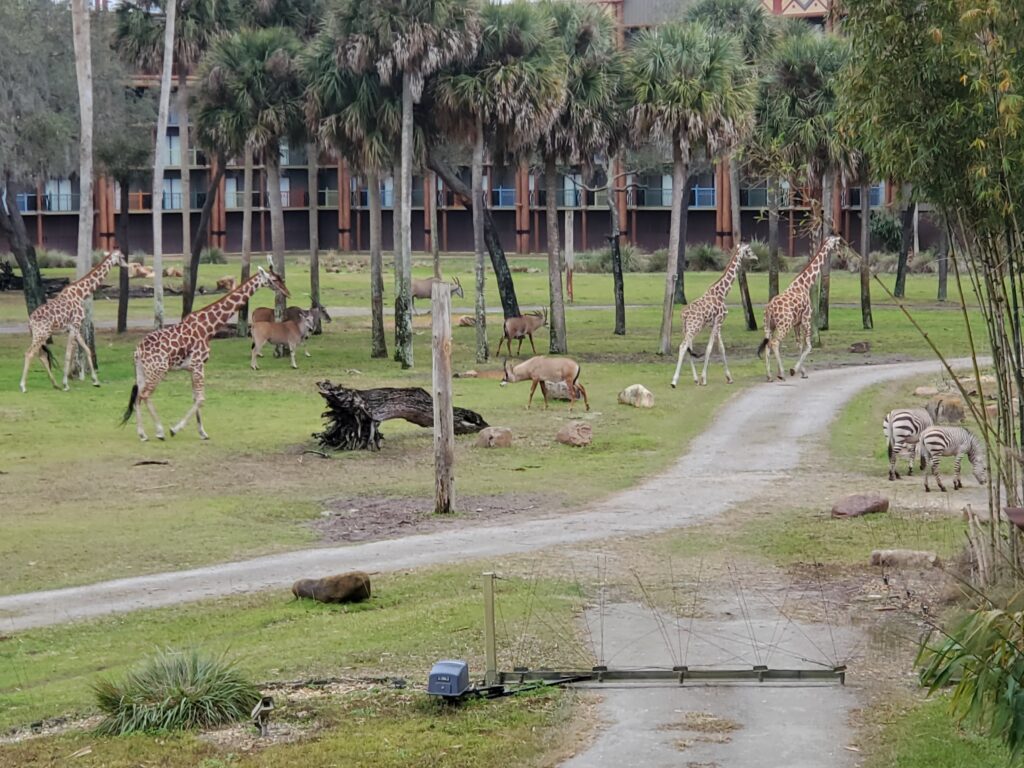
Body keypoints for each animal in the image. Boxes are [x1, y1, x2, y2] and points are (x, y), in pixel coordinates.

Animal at [20, 252, 128, 393]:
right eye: (122, 257)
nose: (127, 265)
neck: (81, 293)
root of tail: (30, 321)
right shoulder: (74, 326)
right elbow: (68, 354)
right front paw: (66, 384)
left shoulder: (76, 328)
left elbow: (86, 350)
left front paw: (95, 381)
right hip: (41, 334)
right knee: (29, 353)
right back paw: (23, 386)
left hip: (40, 334)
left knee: (41, 355)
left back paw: (55, 384)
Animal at [126, 264, 292, 442]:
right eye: (274, 279)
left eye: (280, 278)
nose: (287, 292)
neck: (209, 328)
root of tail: (137, 352)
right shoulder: (198, 364)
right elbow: (201, 399)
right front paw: (175, 429)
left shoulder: (193, 367)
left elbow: (195, 398)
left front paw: (202, 433)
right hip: (158, 370)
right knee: (144, 395)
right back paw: (159, 432)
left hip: (143, 371)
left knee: (138, 397)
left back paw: (143, 434)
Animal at [671, 244, 761, 391]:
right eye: (749, 251)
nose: (756, 258)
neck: (723, 293)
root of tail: (683, 314)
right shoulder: (719, 321)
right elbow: (710, 348)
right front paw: (704, 379)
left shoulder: (715, 324)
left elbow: (721, 348)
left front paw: (729, 378)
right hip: (694, 327)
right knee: (683, 346)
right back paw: (674, 381)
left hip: (687, 328)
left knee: (688, 347)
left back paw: (695, 379)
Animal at [757, 233, 843, 380]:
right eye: (838, 243)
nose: (841, 255)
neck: (805, 284)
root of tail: (769, 309)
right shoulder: (806, 318)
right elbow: (808, 346)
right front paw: (795, 370)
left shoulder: (796, 323)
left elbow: (799, 345)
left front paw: (802, 371)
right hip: (784, 325)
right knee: (775, 343)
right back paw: (781, 374)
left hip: (768, 326)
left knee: (768, 344)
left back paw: (769, 376)